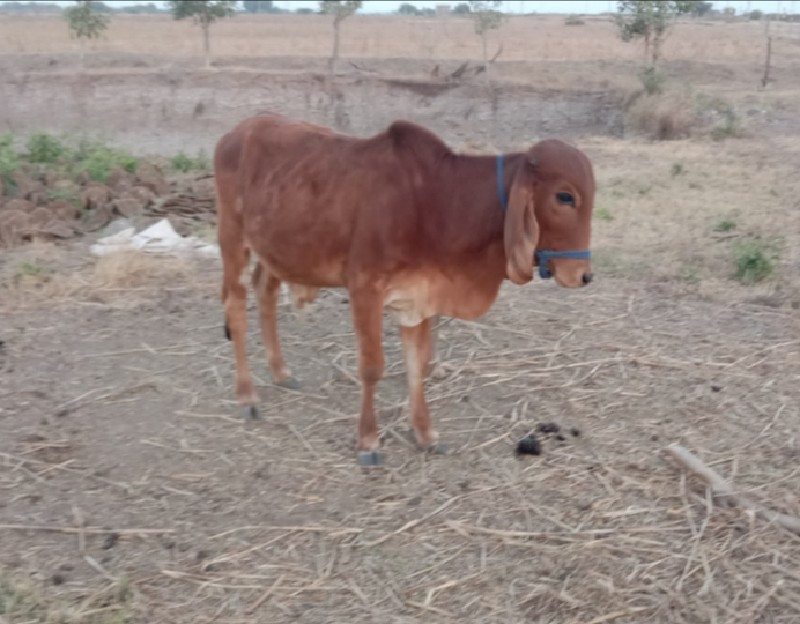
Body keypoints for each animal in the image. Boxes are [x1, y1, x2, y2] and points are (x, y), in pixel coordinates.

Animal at [212, 113, 592, 464]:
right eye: (564, 196)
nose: (584, 275)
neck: (438, 202)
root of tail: (240, 129)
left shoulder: (419, 298)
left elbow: (417, 366)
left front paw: (425, 434)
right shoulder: (365, 290)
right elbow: (372, 367)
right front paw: (368, 442)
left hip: (275, 248)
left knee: (265, 291)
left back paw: (281, 372)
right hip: (232, 237)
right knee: (235, 306)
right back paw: (247, 396)